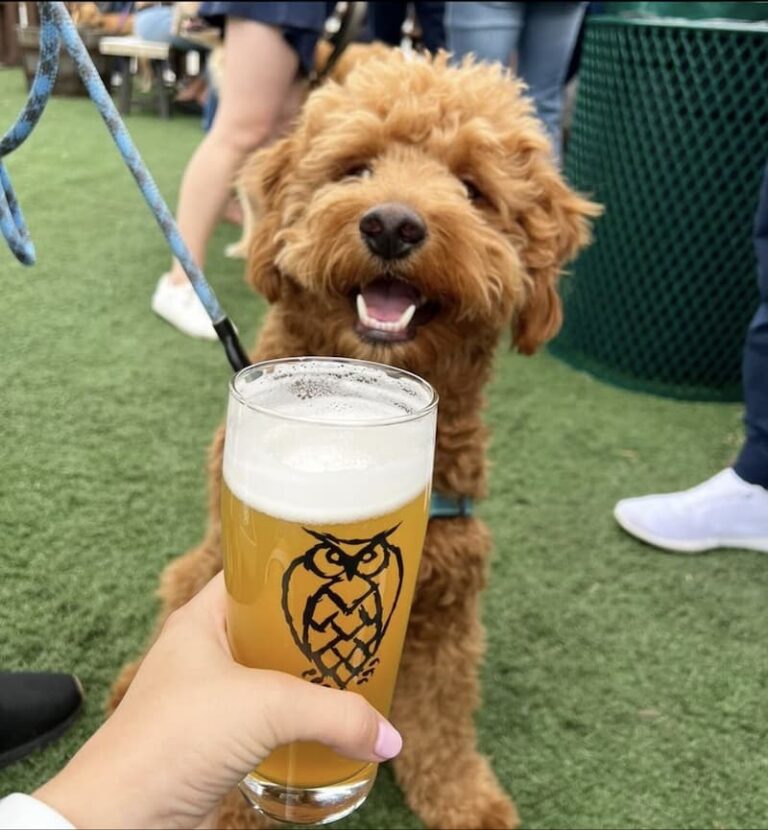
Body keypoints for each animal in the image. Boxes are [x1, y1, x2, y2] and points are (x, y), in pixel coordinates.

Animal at [109, 52, 600, 830]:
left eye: (473, 189)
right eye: (354, 168)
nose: (393, 224)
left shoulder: (447, 604)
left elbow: (442, 711)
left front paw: (464, 797)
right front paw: (245, 808)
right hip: (199, 574)